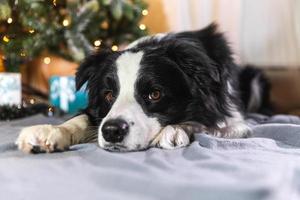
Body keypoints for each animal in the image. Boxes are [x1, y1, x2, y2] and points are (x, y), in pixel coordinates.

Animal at [15, 24, 270, 153]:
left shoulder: (235, 122)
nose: (112, 131)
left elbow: (206, 123)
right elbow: (81, 119)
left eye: (154, 94)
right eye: (108, 95)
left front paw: (174, 130)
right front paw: (48, 132)